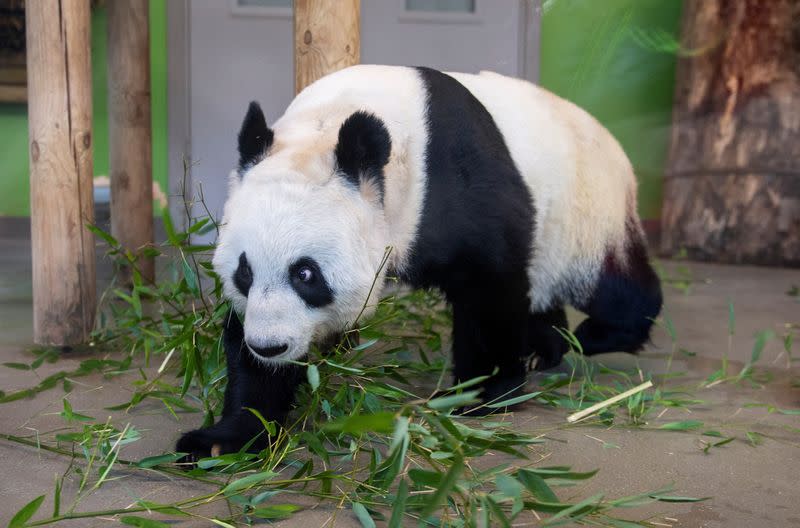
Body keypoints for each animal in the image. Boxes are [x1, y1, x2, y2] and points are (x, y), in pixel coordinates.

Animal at [175, 65, 664, 458]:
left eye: (306, 274)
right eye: (244, 272)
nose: (269, 346)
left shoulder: (458, 185)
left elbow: (490, 286)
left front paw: (482, 394)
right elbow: (246, 356)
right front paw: (223, 437)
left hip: (583, 213)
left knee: (610, 283)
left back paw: (603, 333)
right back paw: (545, 348)